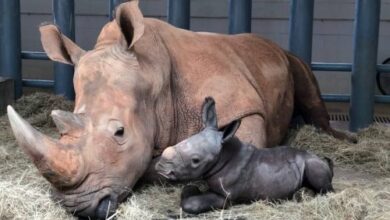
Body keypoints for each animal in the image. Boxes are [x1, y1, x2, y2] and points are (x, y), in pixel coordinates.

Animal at [157, 97, 334, 214]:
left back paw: (302, 195)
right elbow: (188, 189)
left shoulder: (226, 196)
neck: (223, 155)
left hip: (311, 162)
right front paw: (192, 188)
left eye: (196, 160)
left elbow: (191, 203)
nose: (160, 167)